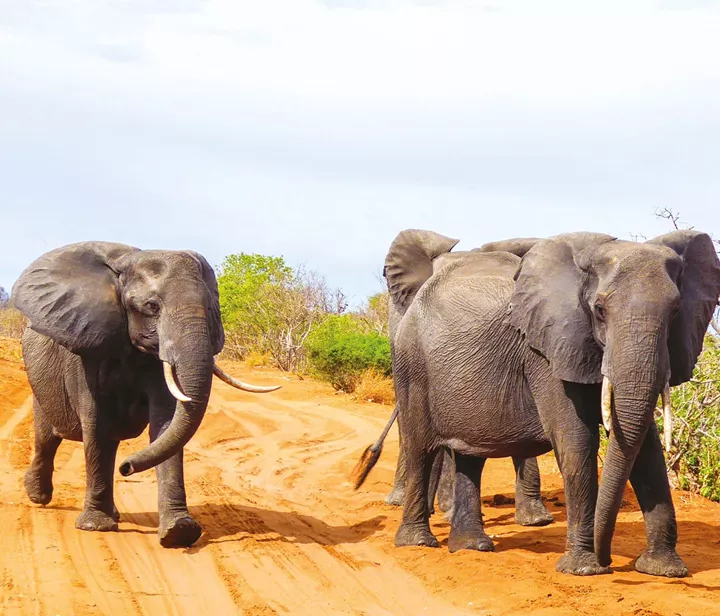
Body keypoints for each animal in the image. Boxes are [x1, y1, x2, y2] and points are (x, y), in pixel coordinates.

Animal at [12, 242, 280, 547]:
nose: (127, 467)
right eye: (152, 306)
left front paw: (179, 532)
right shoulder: (86, 349)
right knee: (47, 438)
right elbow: (96, 425)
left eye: (211, 307)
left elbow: (166, 424)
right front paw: (95, 526)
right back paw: (39, 496)